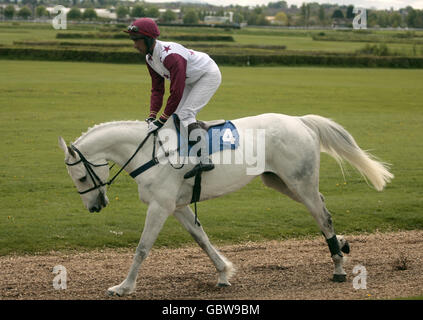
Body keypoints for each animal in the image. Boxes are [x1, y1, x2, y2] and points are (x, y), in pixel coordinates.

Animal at [58, 114, 394, 296]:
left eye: (80, 176)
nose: (95, 206)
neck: (151, 154)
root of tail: (300, 122)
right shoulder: (178, 207)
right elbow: (202, 239)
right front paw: (223, 273)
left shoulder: (160, 207)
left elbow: (142, 248)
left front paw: (124, 287)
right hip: (281, 182)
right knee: (324, 209)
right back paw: (343, 244)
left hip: (300, 183)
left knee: (322, 217)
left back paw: (338, 267)